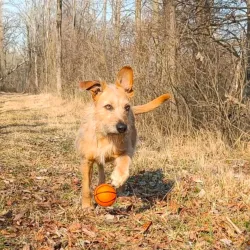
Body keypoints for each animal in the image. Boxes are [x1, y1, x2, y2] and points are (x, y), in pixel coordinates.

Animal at [76, 66, 170, 207]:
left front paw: (118, 177)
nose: (122, 128)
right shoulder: (86, 160)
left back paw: (120, 193)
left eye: (126, 107)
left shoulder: (126, 150)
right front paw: (87, 205)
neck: (107, 136)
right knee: (101, 169)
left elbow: (124, 161)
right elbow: (86, 186)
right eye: (108, 106)